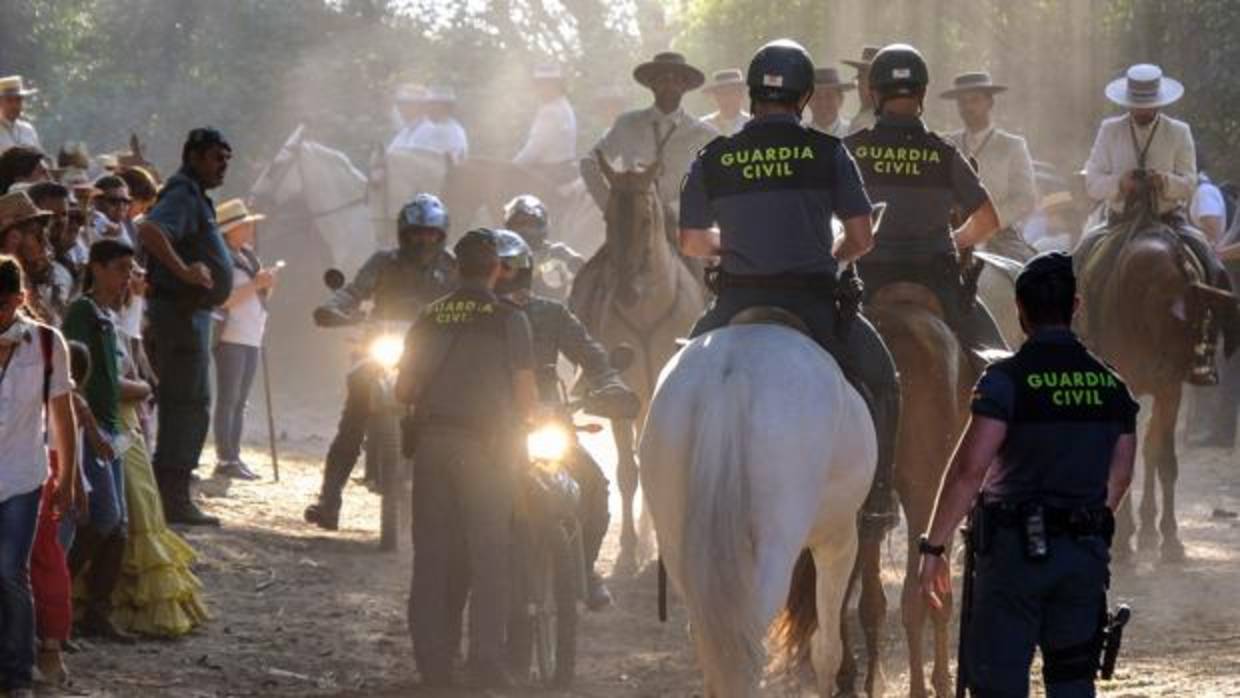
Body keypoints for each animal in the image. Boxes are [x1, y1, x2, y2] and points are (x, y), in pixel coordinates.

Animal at [567, 155, 704, 575]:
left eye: (646, 219)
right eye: (607, 217)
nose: (626, 293)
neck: (646, 312)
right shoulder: (621, 397)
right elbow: (629, 472)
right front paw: (628, 552)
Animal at [644, 317, 877, 698]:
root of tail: (732, 372)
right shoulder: (839, 540)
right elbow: (827, 648)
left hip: (677, 544)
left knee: (710, 639)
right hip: (777, 549)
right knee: (748, 636)